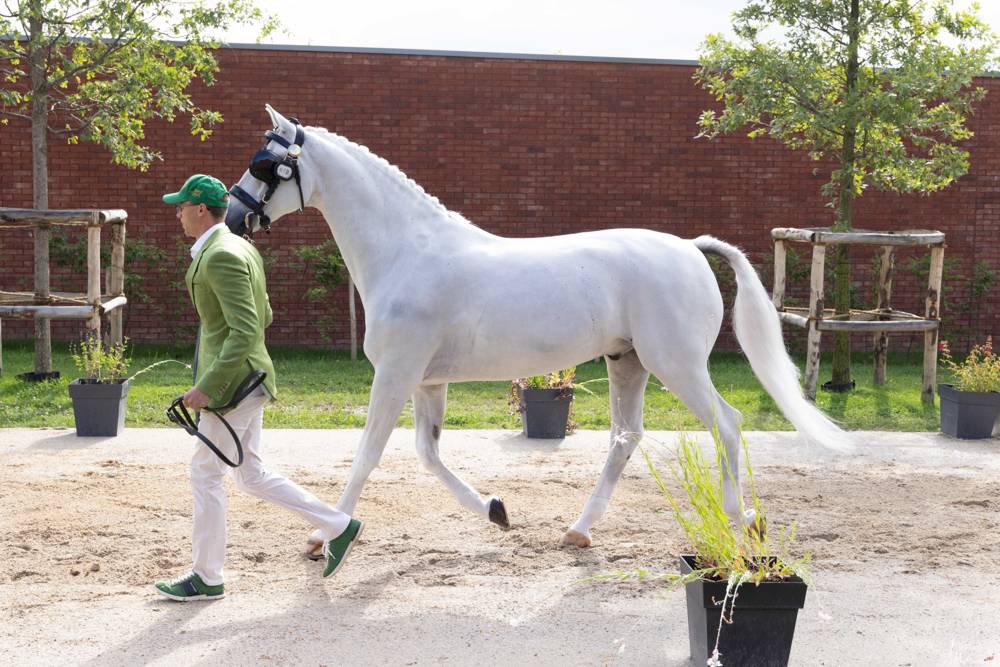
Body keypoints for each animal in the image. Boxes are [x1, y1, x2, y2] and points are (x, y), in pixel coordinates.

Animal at [225, 104, 844, 552]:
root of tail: (692, 248)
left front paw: (323, 535)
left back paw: (743, 520)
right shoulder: (427, 381)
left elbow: (368, 455)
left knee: (727, 424)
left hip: (678, 365)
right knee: (626, 438)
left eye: (266, 165)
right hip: (629, 363)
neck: (408, 253)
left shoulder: (396, 375)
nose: (233, 217)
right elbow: (428, 454)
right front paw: (496, 511)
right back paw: (579, 530)